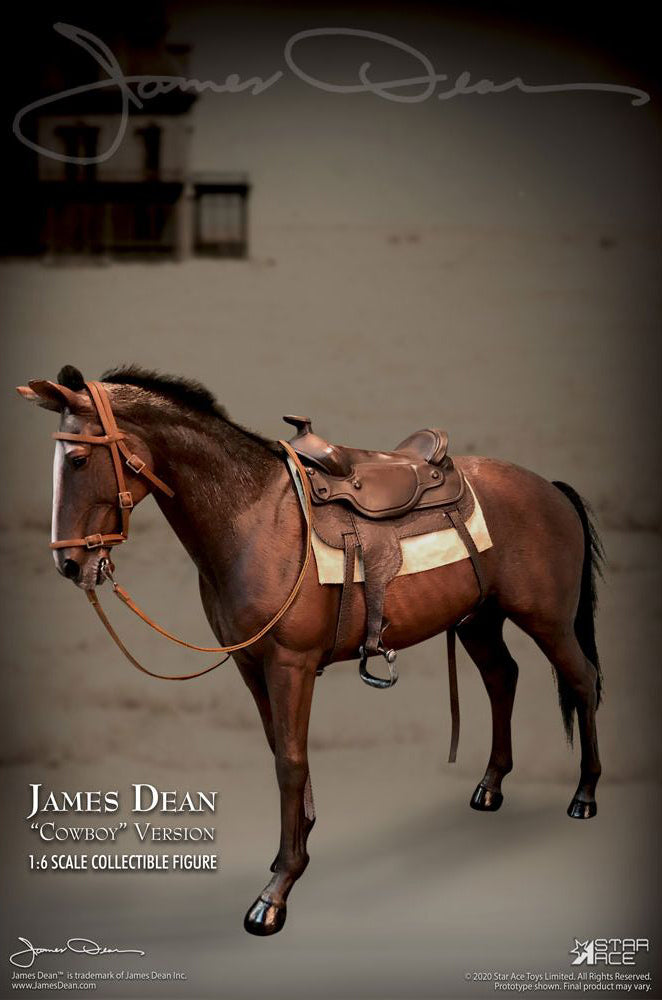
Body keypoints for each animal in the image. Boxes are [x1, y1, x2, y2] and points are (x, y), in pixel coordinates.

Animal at [17, 364, 604, 937]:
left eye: (78, 458)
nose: (69, 564)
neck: (253, 520)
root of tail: (550, 487)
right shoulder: (250, 665)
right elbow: (279, 748)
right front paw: (298, 838)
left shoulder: (290, 665)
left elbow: (291, 763)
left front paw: (277, 889)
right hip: (478, 620)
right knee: (503, 677)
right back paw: (490, 786)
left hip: (548, 620)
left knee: (582, 680)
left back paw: (584, 795)